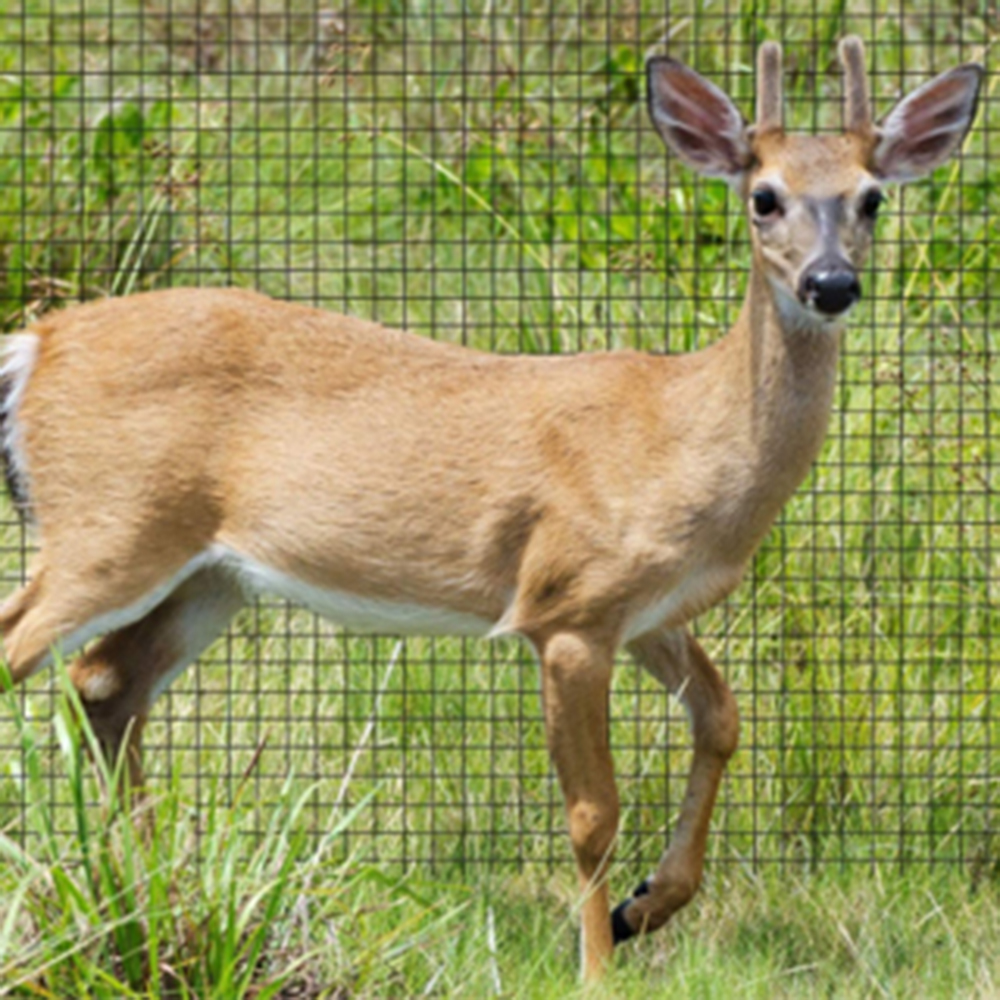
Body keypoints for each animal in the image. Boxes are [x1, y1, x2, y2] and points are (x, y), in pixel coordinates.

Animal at [0, 36, 982, 979]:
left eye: (872, 199)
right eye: (764, 197)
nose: (831, 283)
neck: (684, 437)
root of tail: (38, 341)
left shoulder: (648, 610)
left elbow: (724, 717)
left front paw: (644, 908)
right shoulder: (569, 607)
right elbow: (593, 810)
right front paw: (596, 965)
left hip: (211, 575)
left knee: (105, 683)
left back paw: (140, 890)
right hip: (109, 527)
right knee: (29, 650)